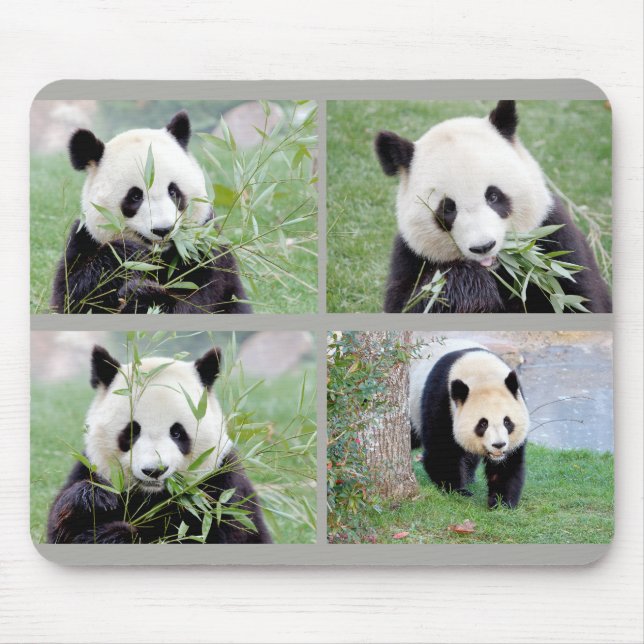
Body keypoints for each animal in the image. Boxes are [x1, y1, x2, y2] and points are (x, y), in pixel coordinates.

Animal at [47, 345, 271, 543]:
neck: (152, 495)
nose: (154, 471)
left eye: (177, 432)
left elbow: (206, 534)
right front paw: (94, 499)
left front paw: (115, 535)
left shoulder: (222, 486)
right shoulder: (91, 467)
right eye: (132, 431)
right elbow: (61, 528)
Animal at [51, 111, 251, 314]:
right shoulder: (85, 240)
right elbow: (73, 294)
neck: (161, 257)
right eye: (135, 196)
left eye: (173, 191)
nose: (163, 230)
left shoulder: (207, 250)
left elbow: (198, 300)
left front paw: (143, 296)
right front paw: (128, 255)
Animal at [375, 100, 612, 313]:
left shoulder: (556, 240)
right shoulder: (411, 257)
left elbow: (577, 300)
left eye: (493, 196)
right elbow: (413, 302)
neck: (497, 270)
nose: (483, 247)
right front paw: (469, 287)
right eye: (448, 209)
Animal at [409, 339, 529, 508]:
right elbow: (442, 451)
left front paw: (501, 501)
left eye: (507, 422)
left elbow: (508, 464)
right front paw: (457, 490)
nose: (498, 445)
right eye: (483, 424)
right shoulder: (442, 401)